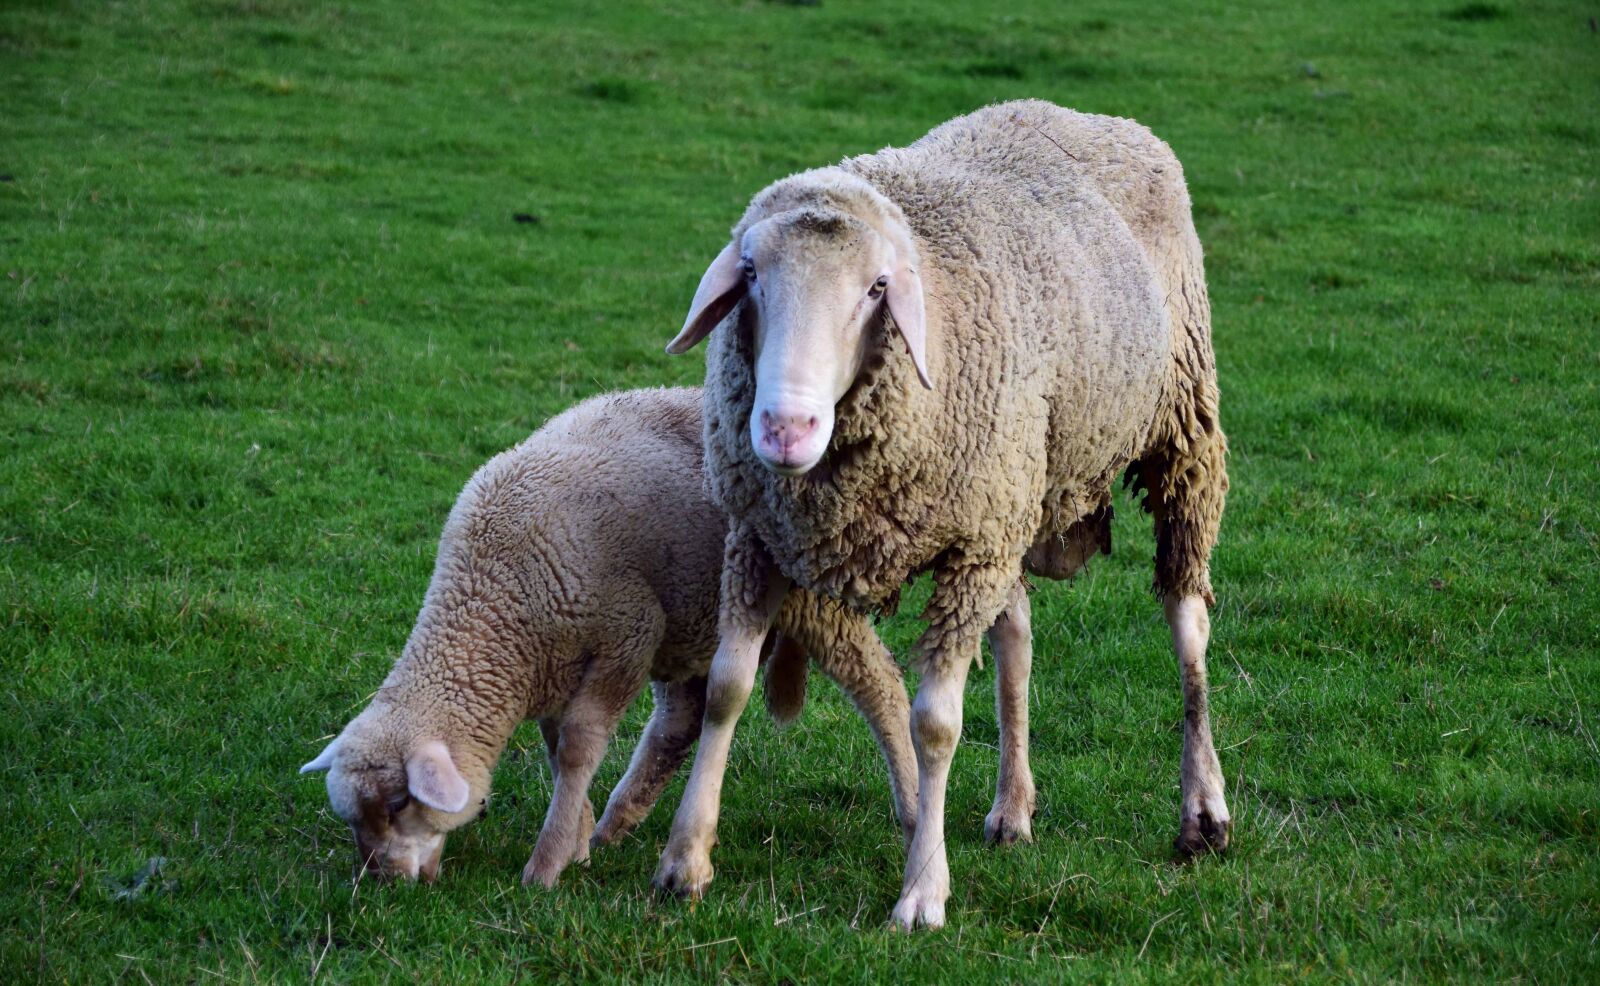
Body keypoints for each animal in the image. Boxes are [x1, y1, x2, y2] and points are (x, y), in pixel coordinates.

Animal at [299, 387, 916, 888]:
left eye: (398, 802)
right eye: (354, 817)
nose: (382, 881)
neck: (491, 597)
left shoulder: (627, 636)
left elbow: (578, 747)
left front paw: (547, 865)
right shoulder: (558, 664)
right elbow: (556, 748)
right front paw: (578, 837)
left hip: (798, 599)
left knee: (881, 684)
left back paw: (912, 808)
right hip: (690, 617)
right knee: (679, 722)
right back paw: (618, 822)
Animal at [658, 100, 1231, 929]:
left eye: (876, 289)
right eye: (753, 274)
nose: (786, 430)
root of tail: (1092, 115)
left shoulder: (966, 545)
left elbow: (934, 724)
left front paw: (922, 890)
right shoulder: (757, 536)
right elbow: (727, 687)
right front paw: (685, 859)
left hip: (1178, 430)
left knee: (1188, 623)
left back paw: (1204, 812)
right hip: (1014, 498)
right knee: (1017, 636)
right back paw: (1013, 807)